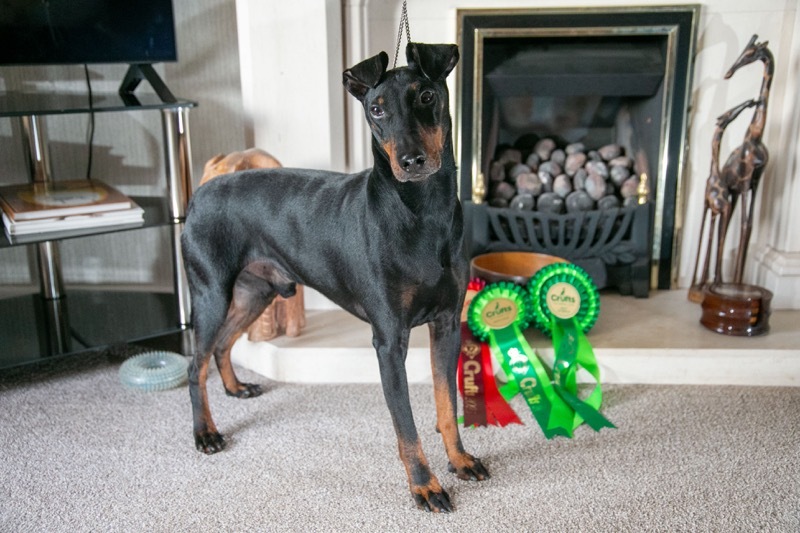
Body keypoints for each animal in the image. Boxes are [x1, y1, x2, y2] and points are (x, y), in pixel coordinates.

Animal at [180, 42, 488, 512]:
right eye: (376, 109)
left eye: (426, 96)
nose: (411, 161)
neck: (422, 212)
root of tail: (200, 192)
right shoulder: (389, 340)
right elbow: (407, 427)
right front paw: (425, 486)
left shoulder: (447, 324)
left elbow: (445, 403)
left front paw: (460, 460)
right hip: (211, 293)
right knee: (195, 363)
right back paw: (206, 434)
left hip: (257, 291)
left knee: (221, 346)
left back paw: (236, 389)